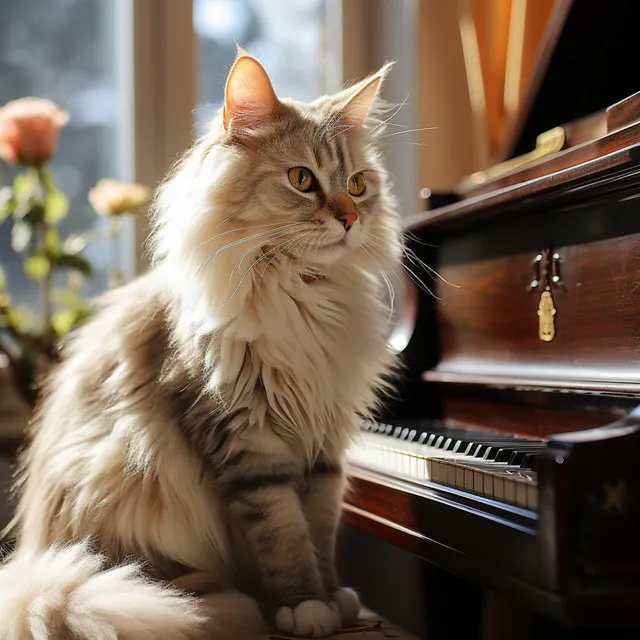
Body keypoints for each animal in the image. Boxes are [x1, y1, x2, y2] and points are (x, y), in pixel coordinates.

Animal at [0, 51, 400, 640]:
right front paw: (305, 607)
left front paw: (333, 597)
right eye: (302, 179)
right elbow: (286, 537)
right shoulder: (247, 445)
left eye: (357, 183)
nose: (349, 218)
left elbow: (321, 530)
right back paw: (211, 604)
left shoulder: (325, 443)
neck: (305, 296)